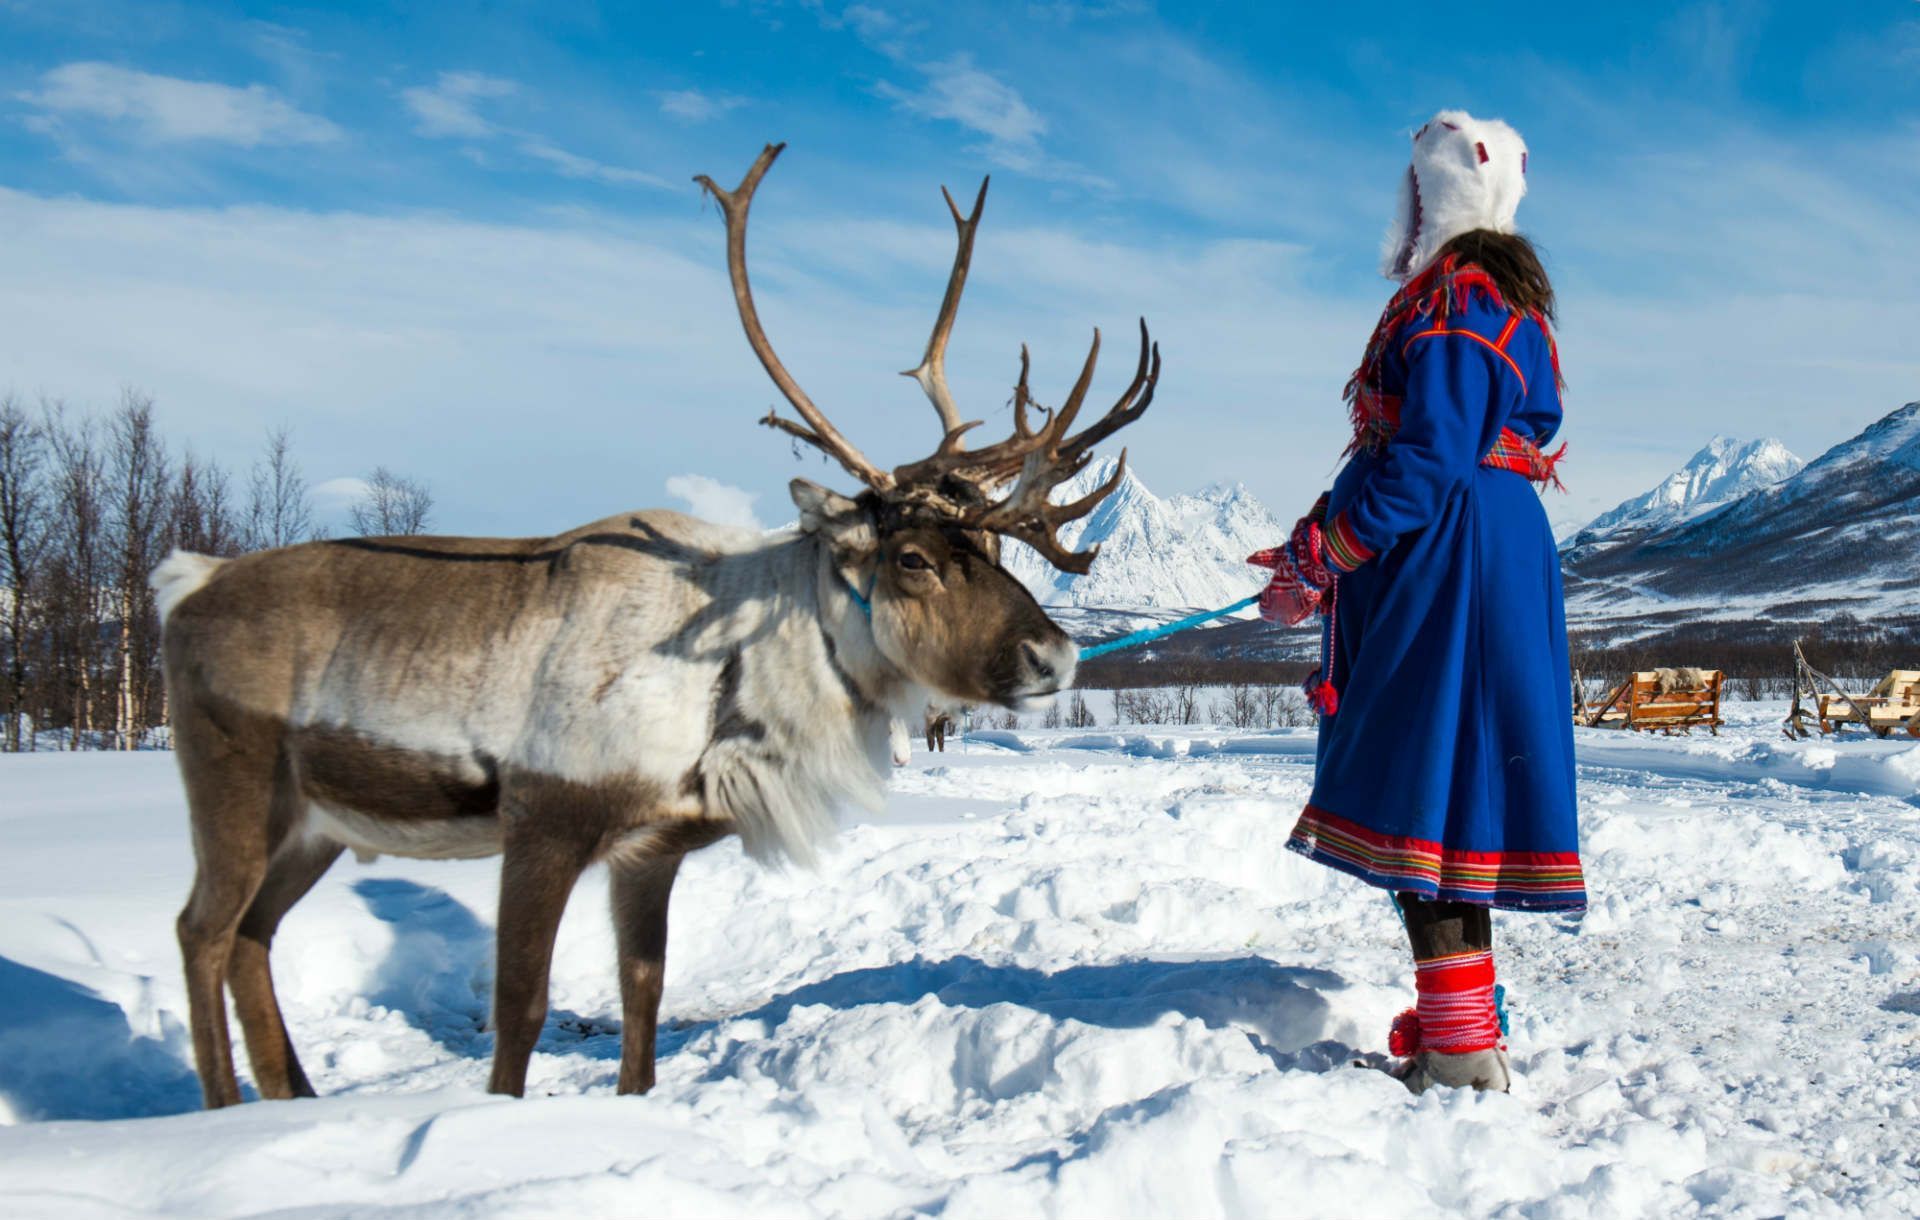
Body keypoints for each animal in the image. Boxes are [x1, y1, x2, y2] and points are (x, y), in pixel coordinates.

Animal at [152, 142, 1160, 1109]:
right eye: (911, 557)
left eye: (992, 549)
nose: (1054, 653)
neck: (726, 693)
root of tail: (190, 586)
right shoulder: (543, 820)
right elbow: (520, 1010)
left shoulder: (651, 849)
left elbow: (643, 996)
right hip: (233, 781)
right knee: (203, 929)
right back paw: (228, 1107)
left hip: (313, 823)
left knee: (252, 937)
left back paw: (291, 1099)